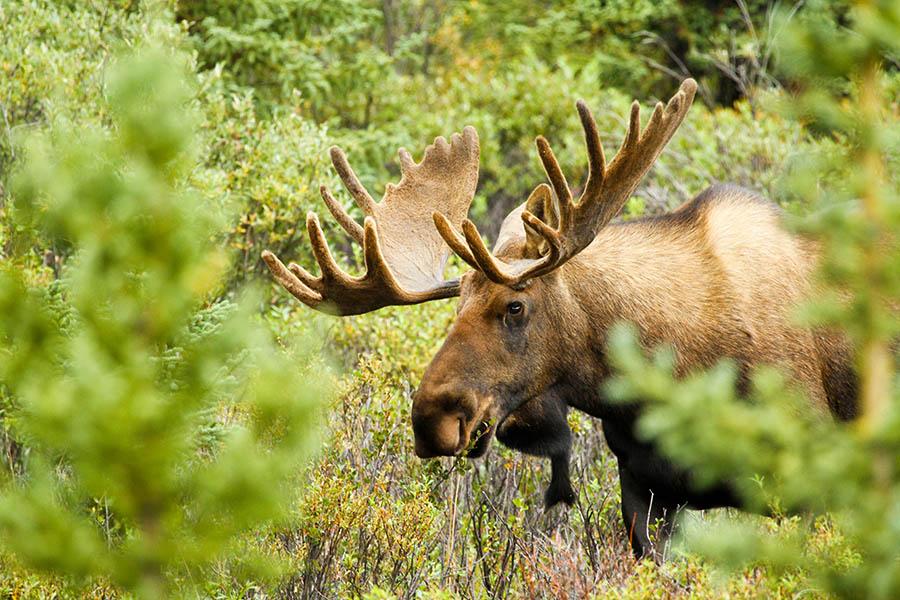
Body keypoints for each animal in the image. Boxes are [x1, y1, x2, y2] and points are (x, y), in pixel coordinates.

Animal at [262, 79, 859, 559]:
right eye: (455, 307)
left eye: (515, 306)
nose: (431, 418)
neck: (666, 372)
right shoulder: (645, 489)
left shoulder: (806, 479)